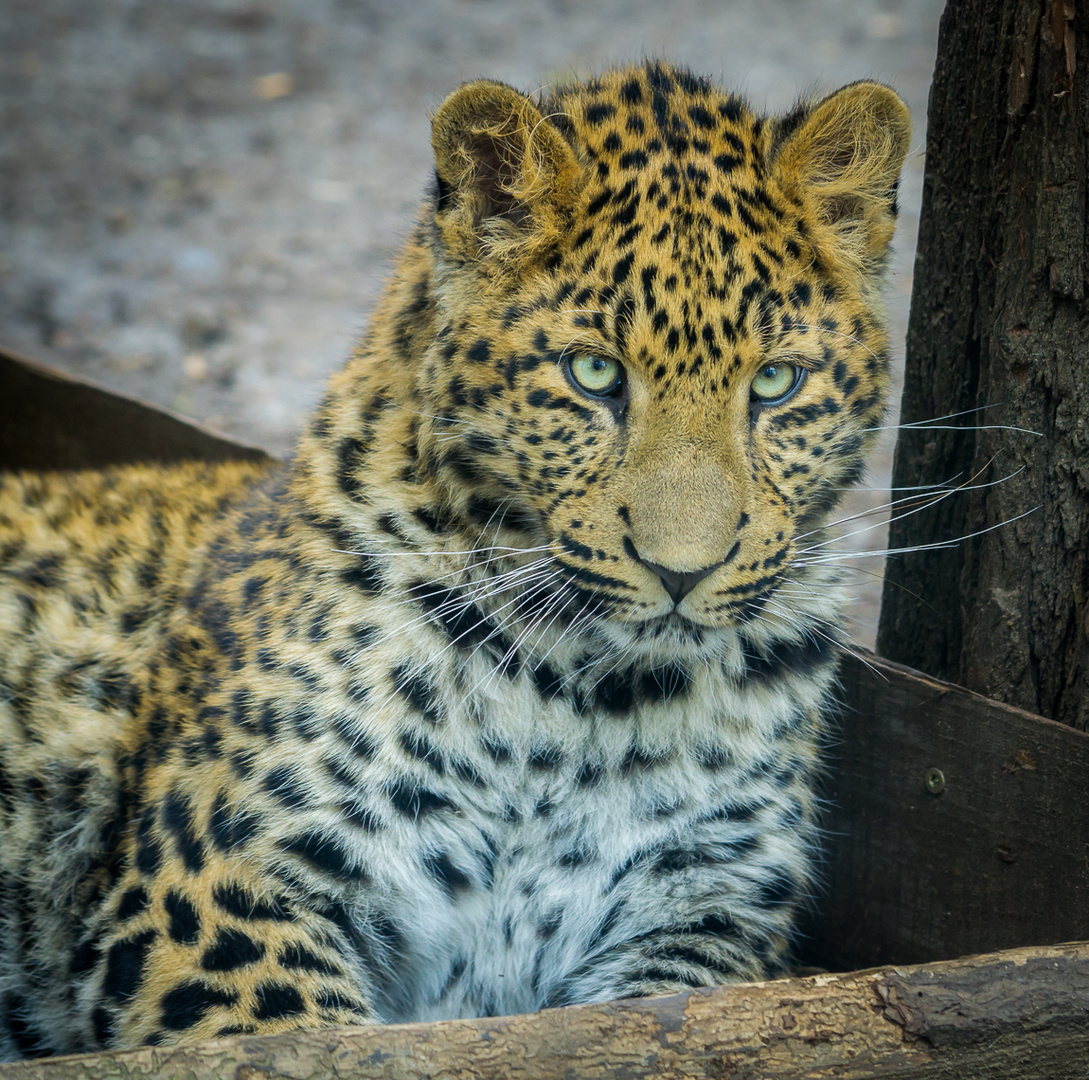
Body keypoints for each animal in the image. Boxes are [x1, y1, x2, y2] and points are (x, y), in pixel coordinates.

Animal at [0, 61, 906, 1053]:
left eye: (775, 383)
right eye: (593, 374)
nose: (682, 573)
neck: (584, 702)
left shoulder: (705, 914)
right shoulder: (215, 880)